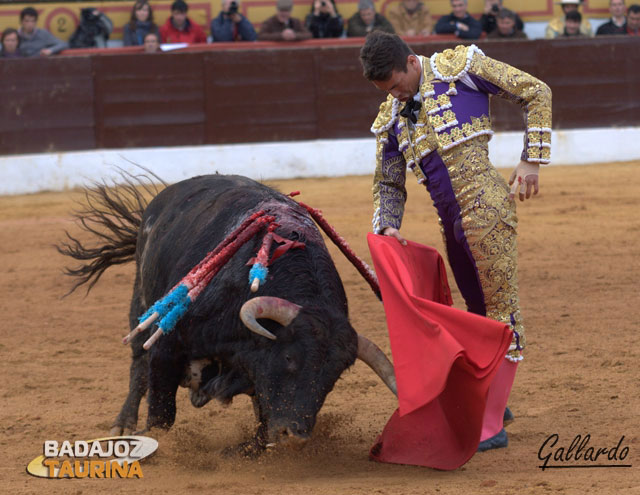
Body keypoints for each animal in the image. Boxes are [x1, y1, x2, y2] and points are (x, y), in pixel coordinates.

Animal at [62, 175, 398, 458]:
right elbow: (161, 412)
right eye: (290, 357)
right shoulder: (169, 345)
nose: (294, 436)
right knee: (138, 364)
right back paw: (123, 424)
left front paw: (246, 449)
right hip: (141, 300)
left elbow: (263, 412)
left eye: (333, 376)